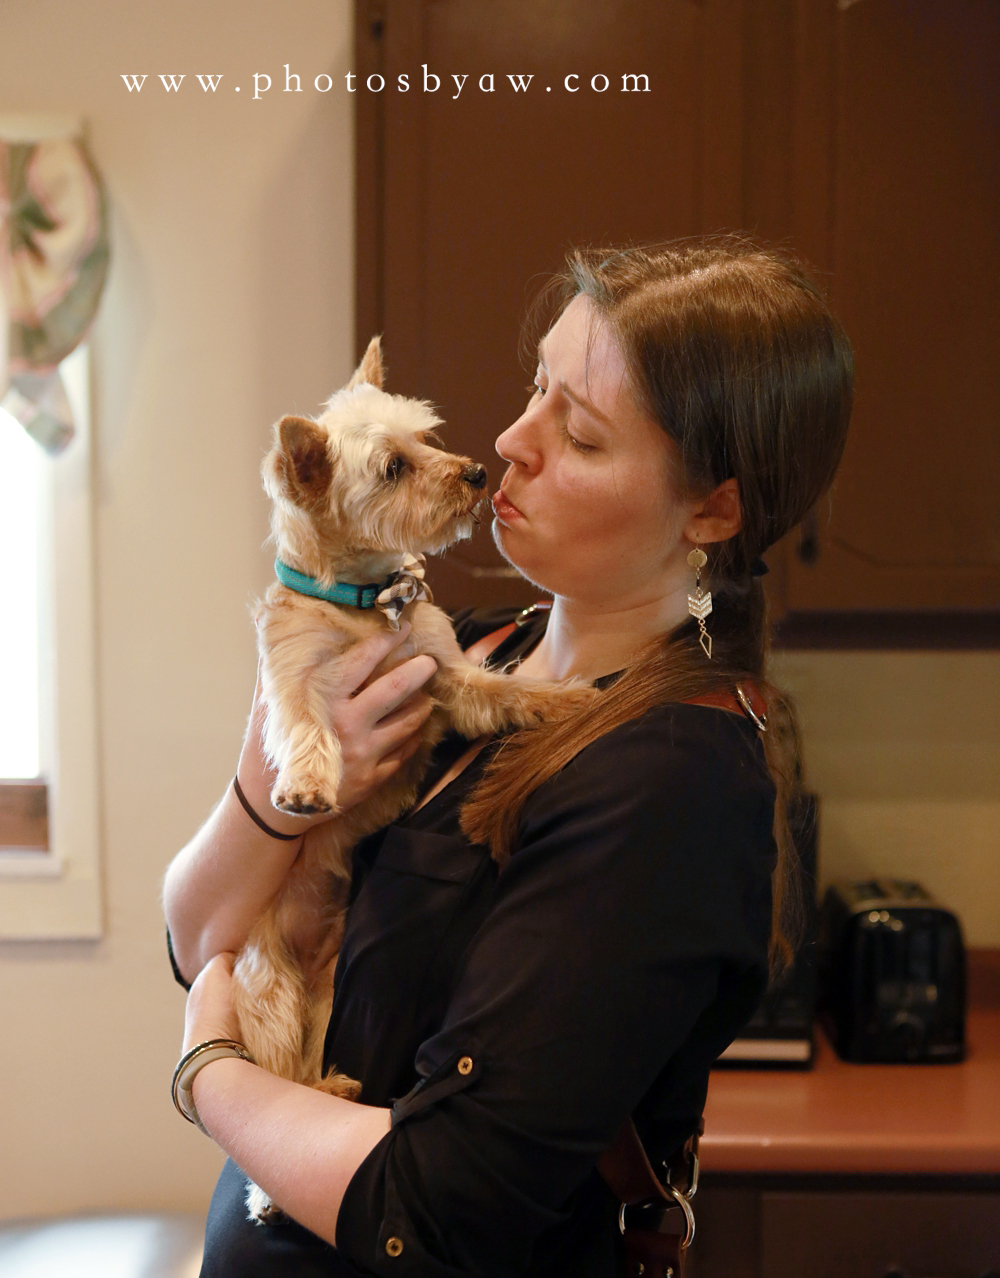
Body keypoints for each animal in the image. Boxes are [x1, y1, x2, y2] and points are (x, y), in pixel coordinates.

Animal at [232, 337, 595, 1216]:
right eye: (393, 468)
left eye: (428, 439)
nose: (476, 471)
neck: (365, 602)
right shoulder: (290, 682)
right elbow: (304, 725)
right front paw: (306, 785)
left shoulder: (441, 673)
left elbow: (500, 690)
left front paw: (560, 700)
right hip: (268, 989)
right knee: (275, 1075)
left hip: (331, 989)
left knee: (304, 1071)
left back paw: (331, 1087)